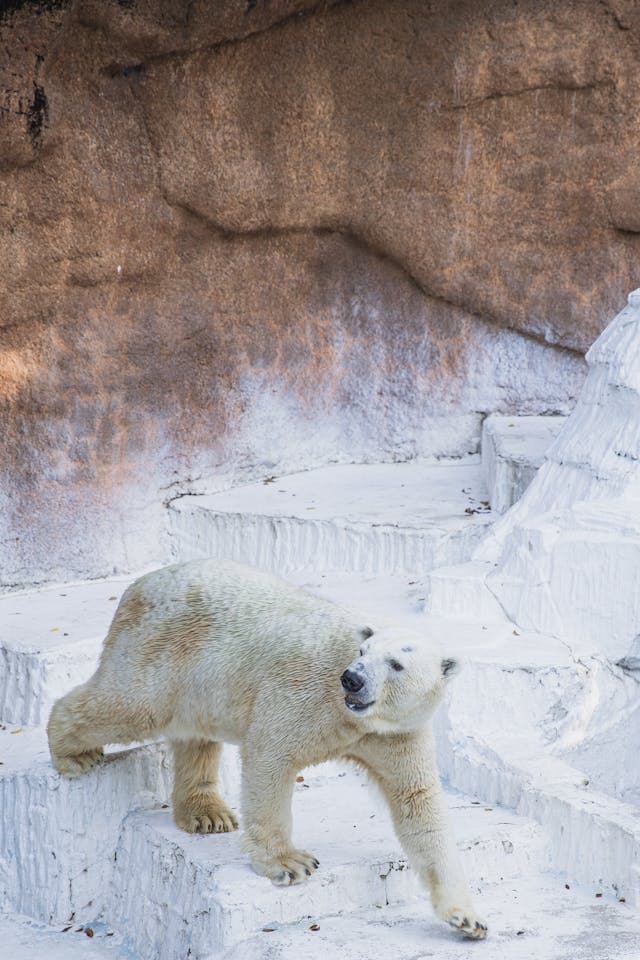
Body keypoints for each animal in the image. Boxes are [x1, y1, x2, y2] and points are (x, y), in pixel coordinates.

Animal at [48, 560, 484, 940]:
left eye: (396, 664)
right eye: (363, 654)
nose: (352, 679)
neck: (353, 719)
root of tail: (138, 584)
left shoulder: (397, 735)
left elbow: (418, 805)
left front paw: (468, 919)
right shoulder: (304, 695)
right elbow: (271, 755)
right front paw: (290, 863)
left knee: (193, 734)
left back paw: (208, 814)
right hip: (161, 647)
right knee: (131, 704)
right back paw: (72, 751)